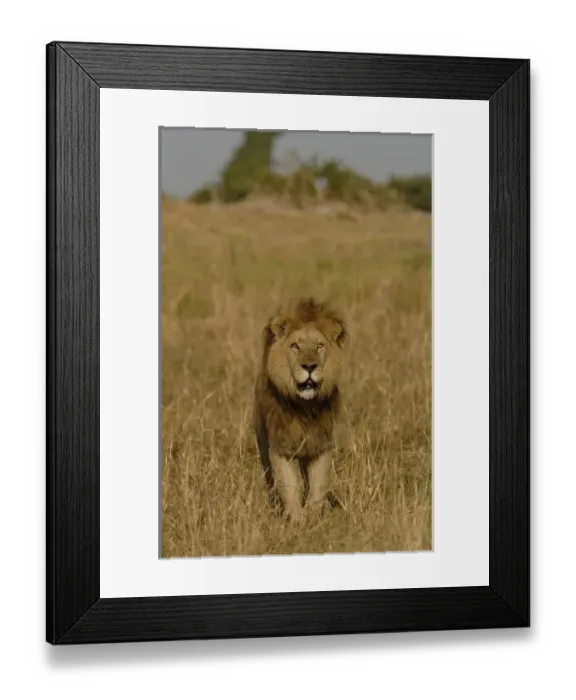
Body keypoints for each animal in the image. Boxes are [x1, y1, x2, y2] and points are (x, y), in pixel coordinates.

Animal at [253, 297, 348, 521]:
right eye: (295, 346)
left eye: (320, 346)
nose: (310, 367)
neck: (304, 407)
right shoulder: (280, 448)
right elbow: (289, 486)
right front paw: (296, 519)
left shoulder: (320, 446)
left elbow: (317, 487)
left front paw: (313, 515)